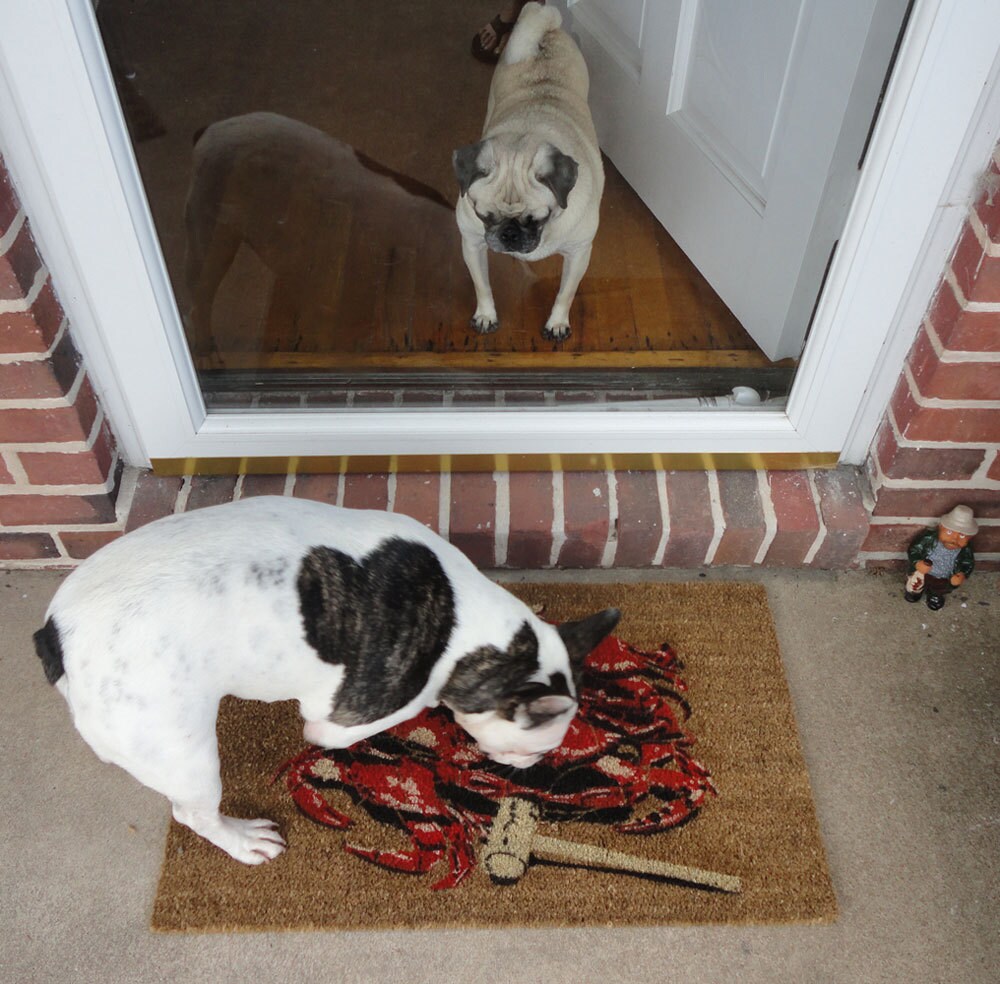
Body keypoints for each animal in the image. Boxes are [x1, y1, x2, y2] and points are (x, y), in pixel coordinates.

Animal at [35, 500, 616, 860]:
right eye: (537, 749)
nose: (530, 769)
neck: (472, 632)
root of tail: (57, 635)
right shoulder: (346, 716)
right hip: (177, 748)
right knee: (194, 812)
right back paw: (243, 840)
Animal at [454, 2, 600, 342]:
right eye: (483, 216)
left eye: (538, 219)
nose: (509, 235)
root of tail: (545, 28)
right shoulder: (472, 243)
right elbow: (482, 285)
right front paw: (486, 315)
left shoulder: (579, 253)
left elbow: (565, 294)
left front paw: (557, 323)